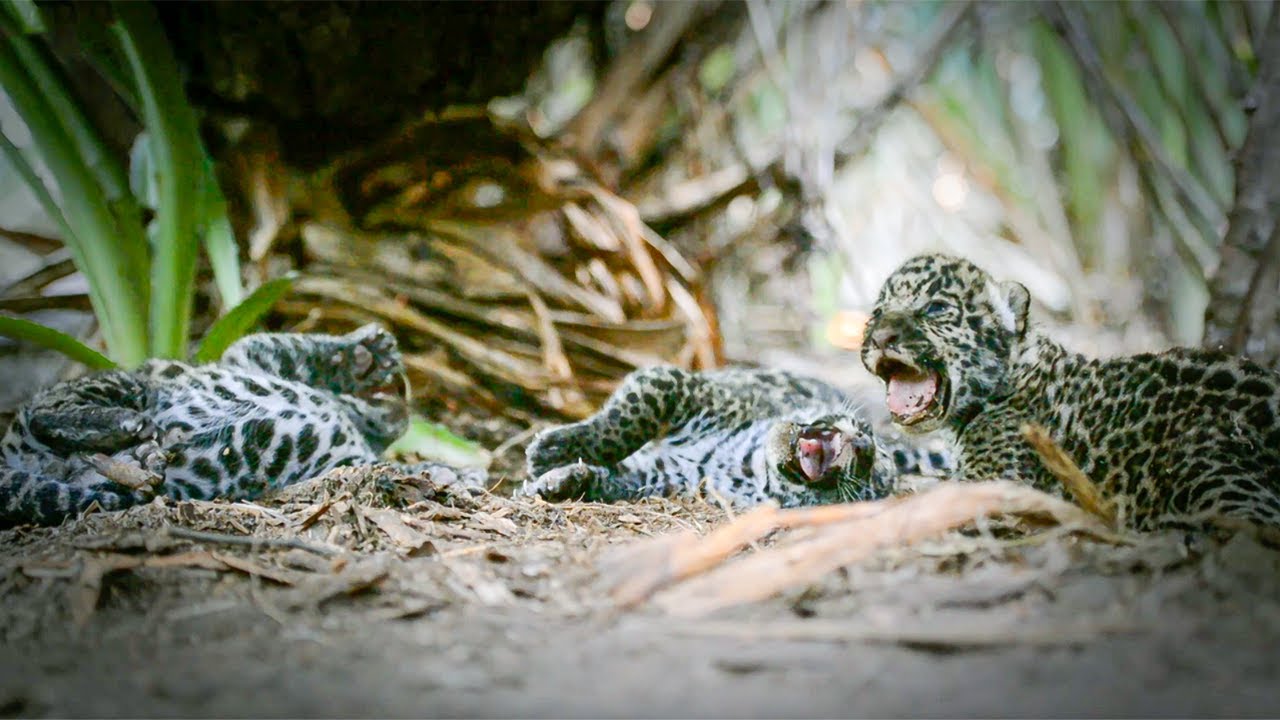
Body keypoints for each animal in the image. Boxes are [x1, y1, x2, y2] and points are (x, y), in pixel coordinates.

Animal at [0, 324, 484, 528]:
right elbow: (277, 342)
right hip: (120, 381)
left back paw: (138, 461)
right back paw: (128, 426)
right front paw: (360, 353)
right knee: (49, 408)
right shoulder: (249, 359)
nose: (402, 400)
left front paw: (454, 474)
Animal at [519, 365, 951, 508]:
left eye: (863, 474)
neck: (748, 466)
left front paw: (560, 480)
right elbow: (626, 420)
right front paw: (552, 452)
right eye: (867, 454)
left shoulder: (654, 476)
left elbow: (611, 478)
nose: (863, 445)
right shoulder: (678, 386)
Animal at [860, 252, 1280, 531]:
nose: (880, 337)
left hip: (1202, 464)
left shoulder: (996, 478)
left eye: (935, 308)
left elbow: (931, 489)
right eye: (877, 313)